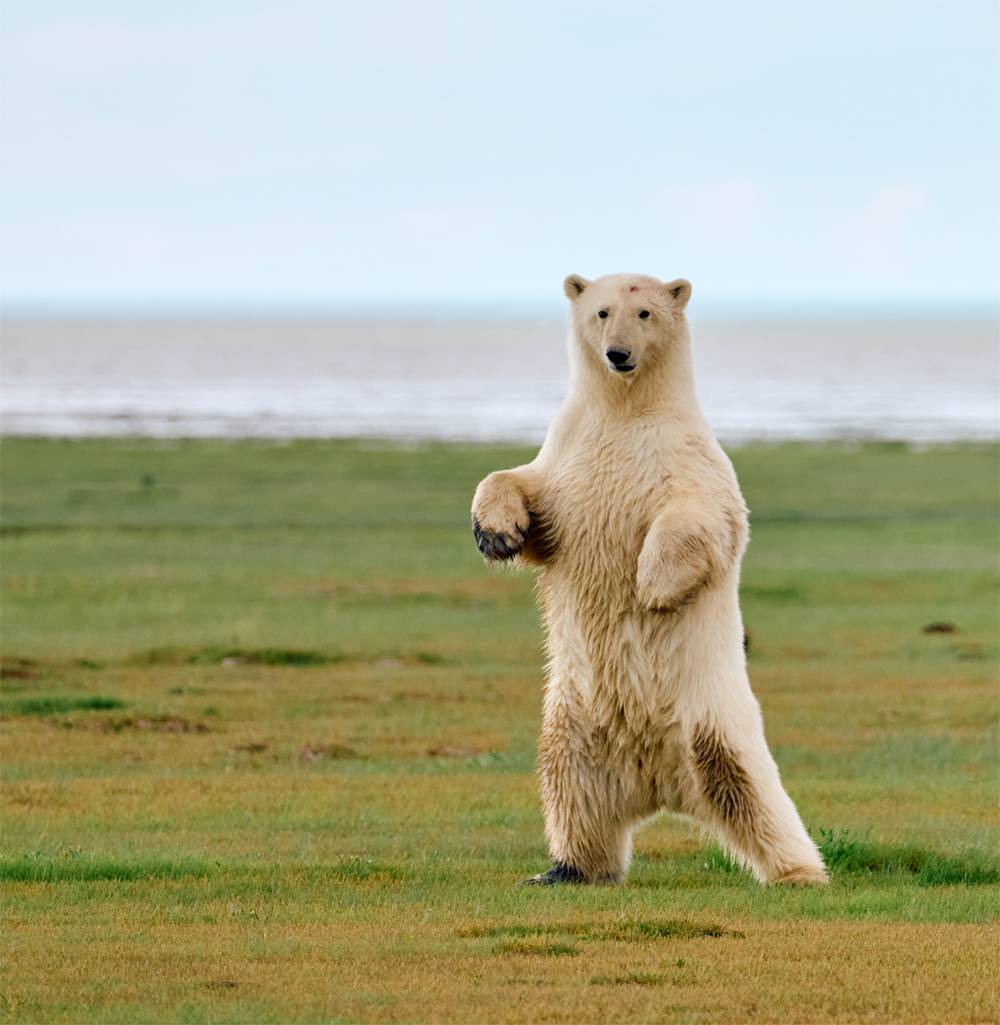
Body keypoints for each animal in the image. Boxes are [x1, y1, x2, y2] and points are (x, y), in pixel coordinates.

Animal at [471, 272, 828, 886]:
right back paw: (565, 869)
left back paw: (800, 873)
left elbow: (705, 517)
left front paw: (653, 587)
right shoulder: (567, 453)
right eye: (602, 311)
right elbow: (522, 490)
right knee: (569, 786)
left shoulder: (683, 455)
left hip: (713, 720)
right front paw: (497, 534)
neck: (625, 411)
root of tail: (658, 782)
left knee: (755, 793)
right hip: (575, 722)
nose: (618, 354)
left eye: (645, 313)